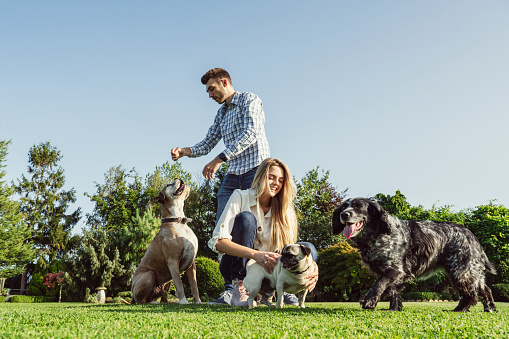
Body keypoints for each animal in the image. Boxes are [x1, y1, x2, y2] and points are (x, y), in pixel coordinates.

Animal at [332, 199, 494, 314]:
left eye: (358, 206)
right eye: (344, 207)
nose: (343, 214)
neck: (378, 234)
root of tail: (472, 235)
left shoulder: (394, 270)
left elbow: (378, 285)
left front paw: (370, 301)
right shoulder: (395, 274)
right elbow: (394, 292)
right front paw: (393, 309)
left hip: (460, 271)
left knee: (470, 295)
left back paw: (460, 310)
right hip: (470, 271)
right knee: (485, 289)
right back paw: (490, 309)